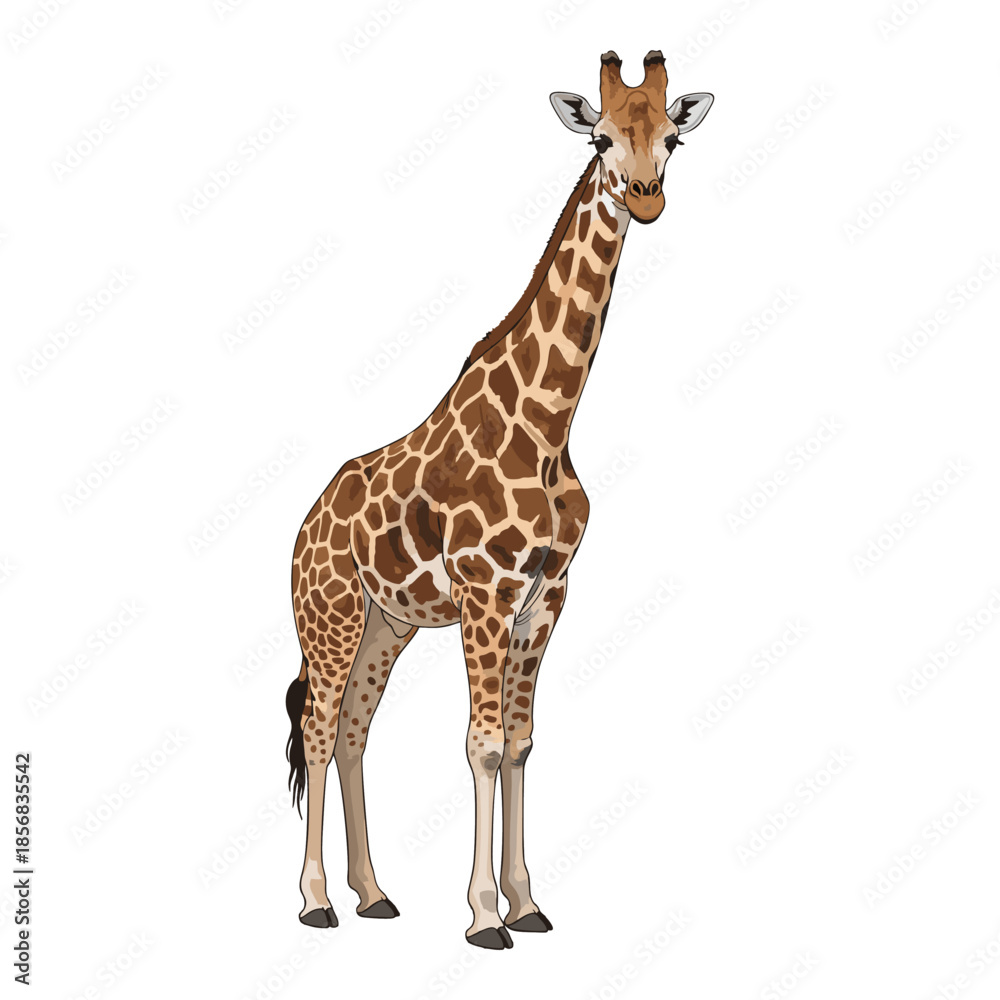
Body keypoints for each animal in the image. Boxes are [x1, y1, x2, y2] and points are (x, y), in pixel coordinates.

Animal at [285, 50, 713, 949]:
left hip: (388, 624)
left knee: (353, 734)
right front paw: (485, 917)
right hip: (330, 615)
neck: (550, 424)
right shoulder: (486, 593)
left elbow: (519, 744)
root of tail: (303, 528)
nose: (646, 196)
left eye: (673, 137)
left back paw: (373, 894)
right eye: (599, 136)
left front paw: (527, 903)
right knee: (316, 730)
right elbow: (481, 744)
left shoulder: (546, 595)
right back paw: (314, 902)